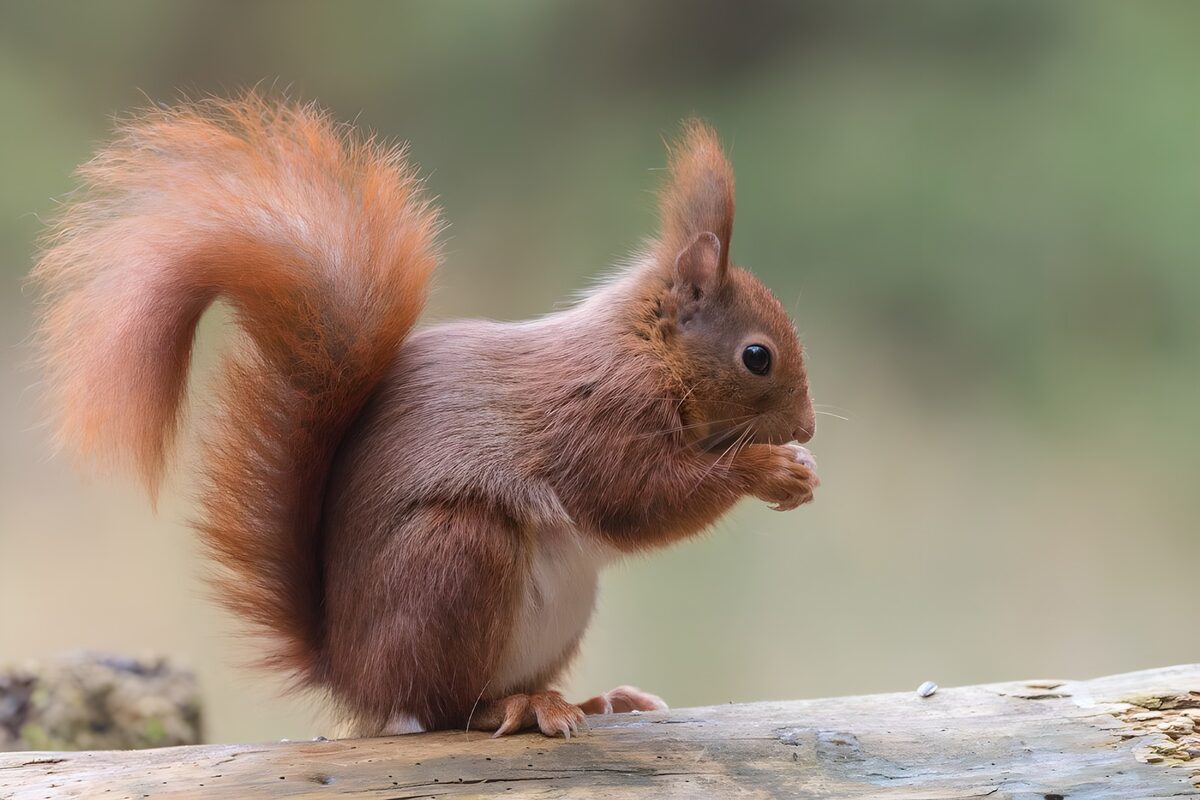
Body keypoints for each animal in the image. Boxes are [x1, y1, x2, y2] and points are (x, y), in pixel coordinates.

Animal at [31, 94, 818, 739]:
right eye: (757, 357)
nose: (807, 428)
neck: (646, 353)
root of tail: (351, 672)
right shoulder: (597, 415)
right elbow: (640, 498)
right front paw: (769, 469)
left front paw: (800, 469)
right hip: (458, 556)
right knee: (443, 707)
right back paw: (515, 708)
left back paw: (591, 701)